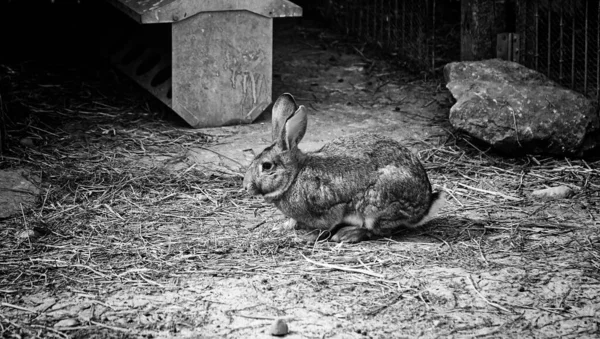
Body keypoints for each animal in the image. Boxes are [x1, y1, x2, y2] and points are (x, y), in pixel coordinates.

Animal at [241, 92, 442, 242]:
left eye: (267, 166)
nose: (245, 186)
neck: (295, 177)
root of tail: (424, 207)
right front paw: (282, 227)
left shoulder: (328, 209)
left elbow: (324, 226)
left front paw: (306, 236)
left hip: (377, 206)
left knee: (378, 230)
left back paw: (347, 235)